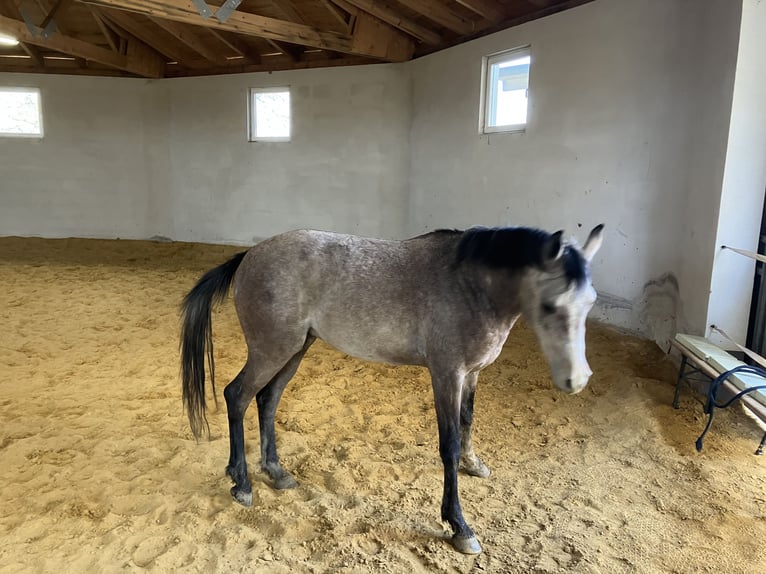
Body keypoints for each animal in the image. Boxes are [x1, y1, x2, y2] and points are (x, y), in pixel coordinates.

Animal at [180, 224, 608, 552]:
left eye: (590, 301)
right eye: (551, 305)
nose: (577, 379)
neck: (469, 286)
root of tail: (250, 256)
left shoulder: (472, 374)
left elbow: (468, 421)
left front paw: (475, 464)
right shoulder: (447, 374)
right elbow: (449, 444)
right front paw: (459, 526)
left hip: (296, 349)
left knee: (267, 400)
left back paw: (275, 471)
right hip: (272, 350)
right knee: (237, 396)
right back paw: (241, 483)